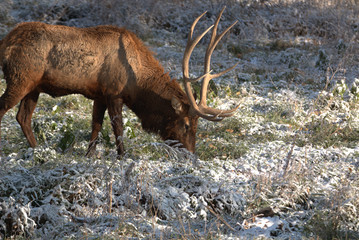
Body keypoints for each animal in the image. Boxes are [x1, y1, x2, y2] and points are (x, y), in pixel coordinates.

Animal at [0, 7, 242, 156]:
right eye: (186, 124)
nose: (191, 153)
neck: (137, 84)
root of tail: (5, 43)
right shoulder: (114, 92)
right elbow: (118, 127)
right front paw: (122, 156)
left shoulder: (99, 94)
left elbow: (96, 125)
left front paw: (89, 155)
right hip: (20, 78)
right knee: (5, 109)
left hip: (33, 87)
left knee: (23, 117)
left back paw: (36, 150)